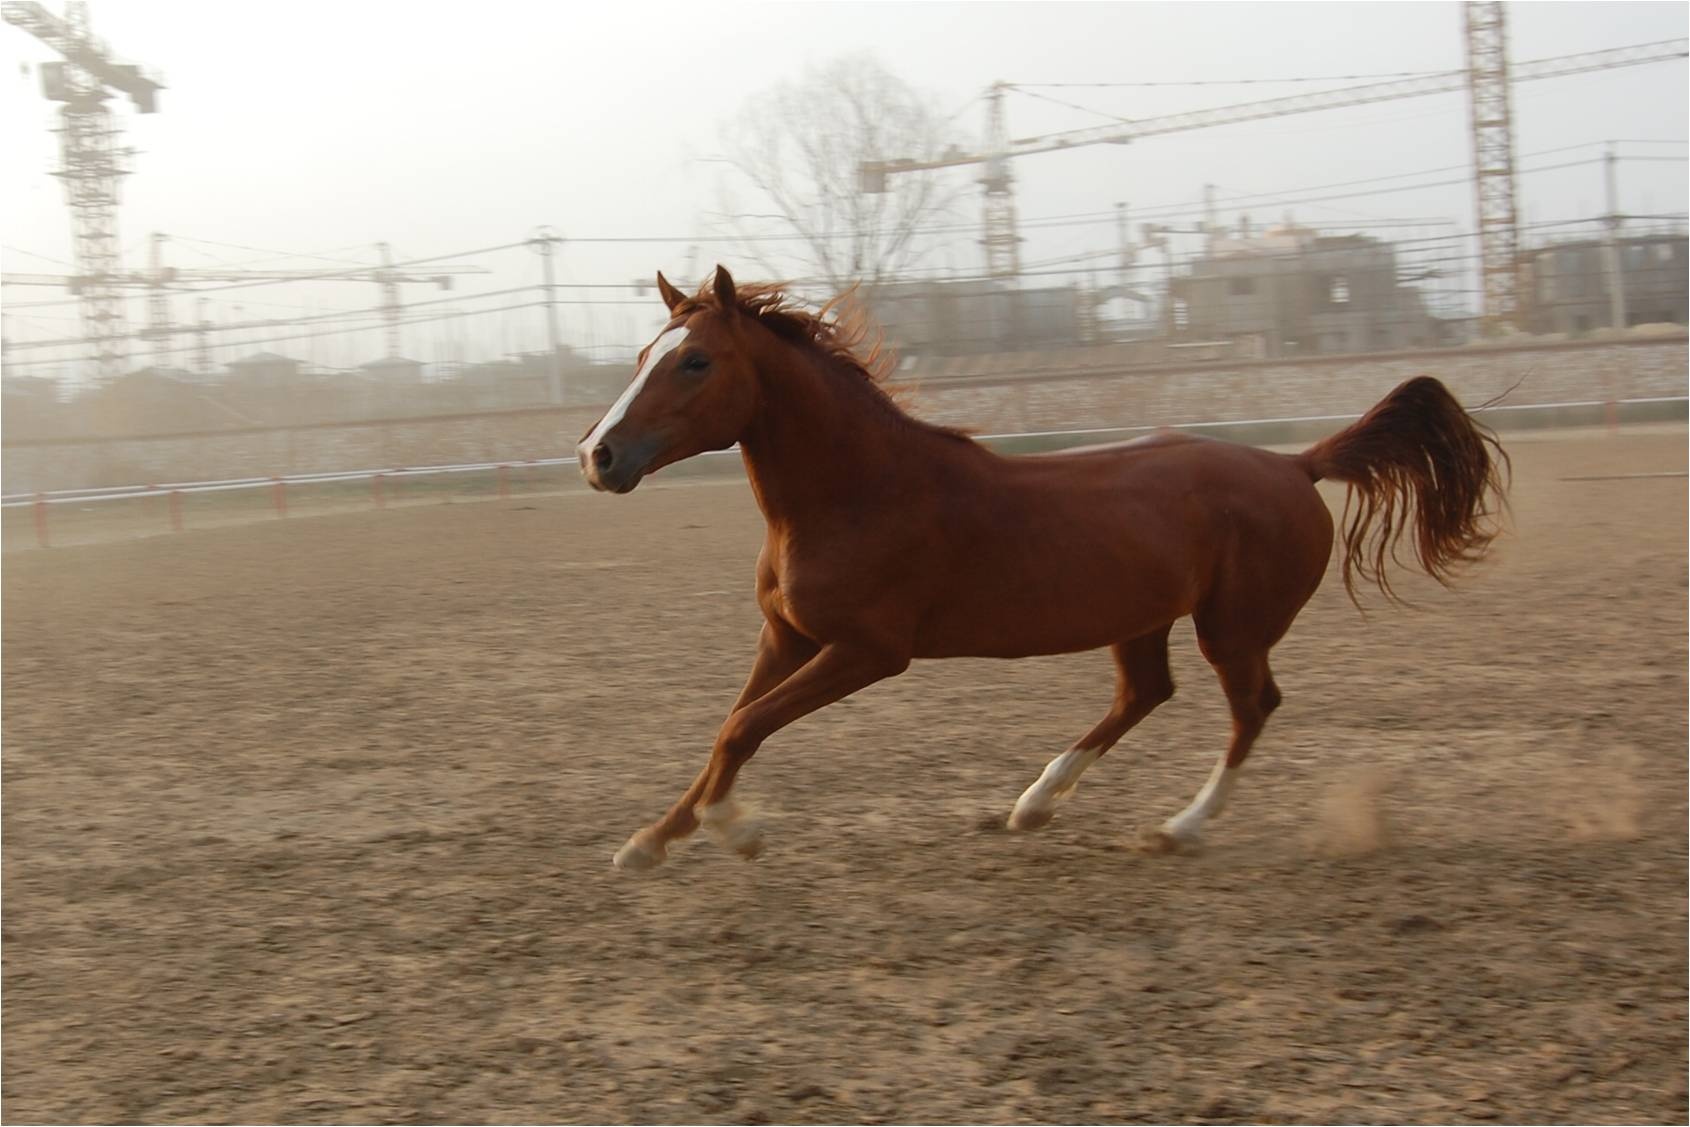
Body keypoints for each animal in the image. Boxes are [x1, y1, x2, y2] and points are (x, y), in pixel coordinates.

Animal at [577, 265, 1507, 871]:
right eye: (642, 357)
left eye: (696, 360)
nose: (598, 455)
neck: (858, 492)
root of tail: (1294, 464)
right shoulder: (788, 636)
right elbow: (729, 726)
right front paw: (651, 841)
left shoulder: (868, 651)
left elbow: (744, 727)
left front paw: (736, 831)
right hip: (1142, 619)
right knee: (1145, 693)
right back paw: (1032, 805)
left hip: (1234, 629)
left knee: (1252, 708)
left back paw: (1178, 828)